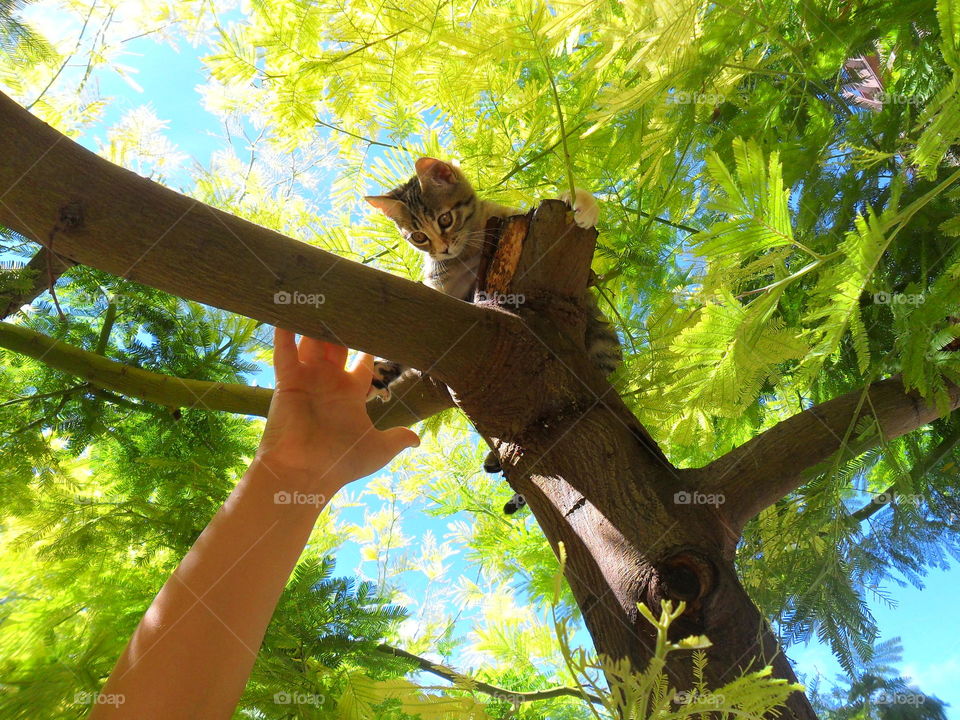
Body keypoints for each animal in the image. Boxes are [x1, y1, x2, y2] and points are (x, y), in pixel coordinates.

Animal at [364, 160, 620, 516]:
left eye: (445, 219)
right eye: (419, 237)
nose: (442, 248)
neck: (468, 251)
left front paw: (582, 203)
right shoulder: (441, 292)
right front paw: (379, 375)